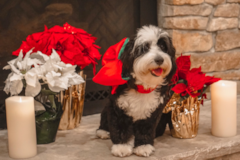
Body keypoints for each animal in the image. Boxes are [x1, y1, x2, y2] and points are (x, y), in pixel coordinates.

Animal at [95, 25, 176, 158]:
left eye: (163, 47)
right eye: (144, 48)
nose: (159, 59)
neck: (142, 87)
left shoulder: (152, 111)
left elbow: (146, 129)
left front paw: (143, 146)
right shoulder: (118, 108)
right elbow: (120, 126)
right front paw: (121, 147)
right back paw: (103, 131)